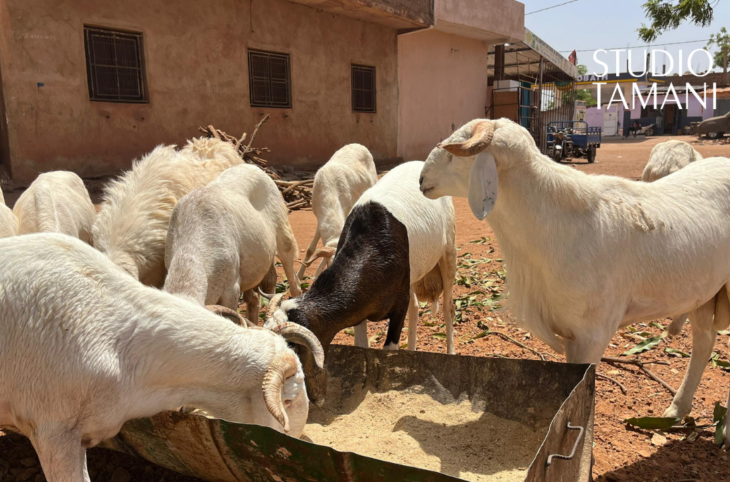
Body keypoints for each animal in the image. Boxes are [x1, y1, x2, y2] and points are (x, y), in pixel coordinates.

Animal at [264, 161, 456, 404]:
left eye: (292, 348)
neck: (373, 249)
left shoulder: (397, 306)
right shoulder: (360, 310)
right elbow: (361, 347)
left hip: (448, 249)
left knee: (448, 307)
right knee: (415, 306)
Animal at [418, 117, 730, 421]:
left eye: (451, 154)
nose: (421, 180)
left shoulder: (594, 333)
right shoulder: (570, 333)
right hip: (706, 292)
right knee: (705, 342)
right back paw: (678, 409)